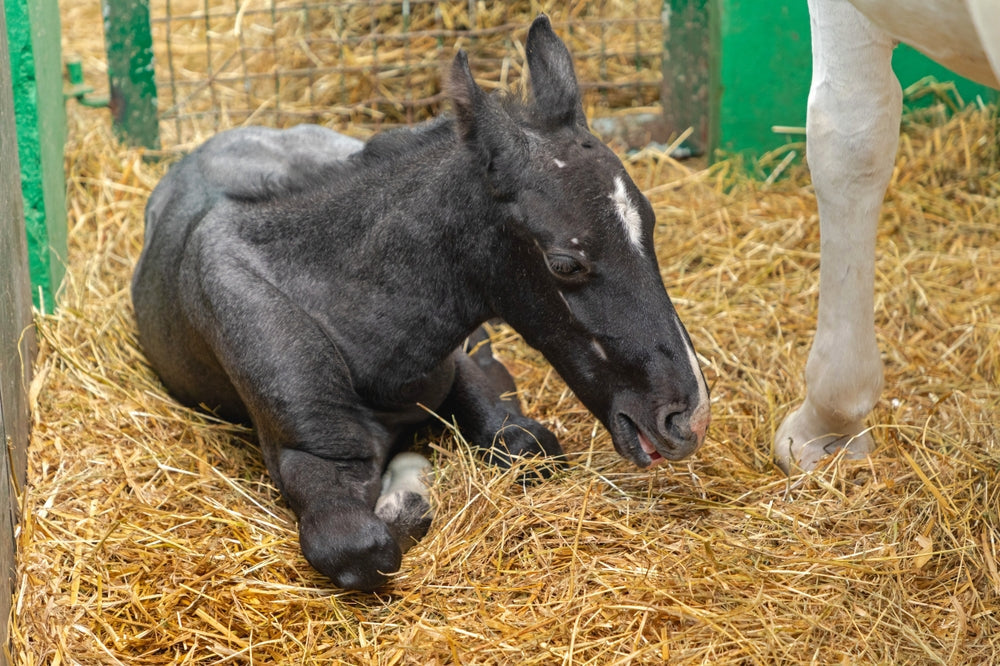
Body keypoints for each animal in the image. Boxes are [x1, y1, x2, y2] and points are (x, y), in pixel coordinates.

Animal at [131, 15, 711, 591]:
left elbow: (528, 445)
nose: (687, 420)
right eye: (565, 263)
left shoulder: (457, 369)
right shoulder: (310, 456)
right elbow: (363, 546)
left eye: (651, 226)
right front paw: (407, 481)